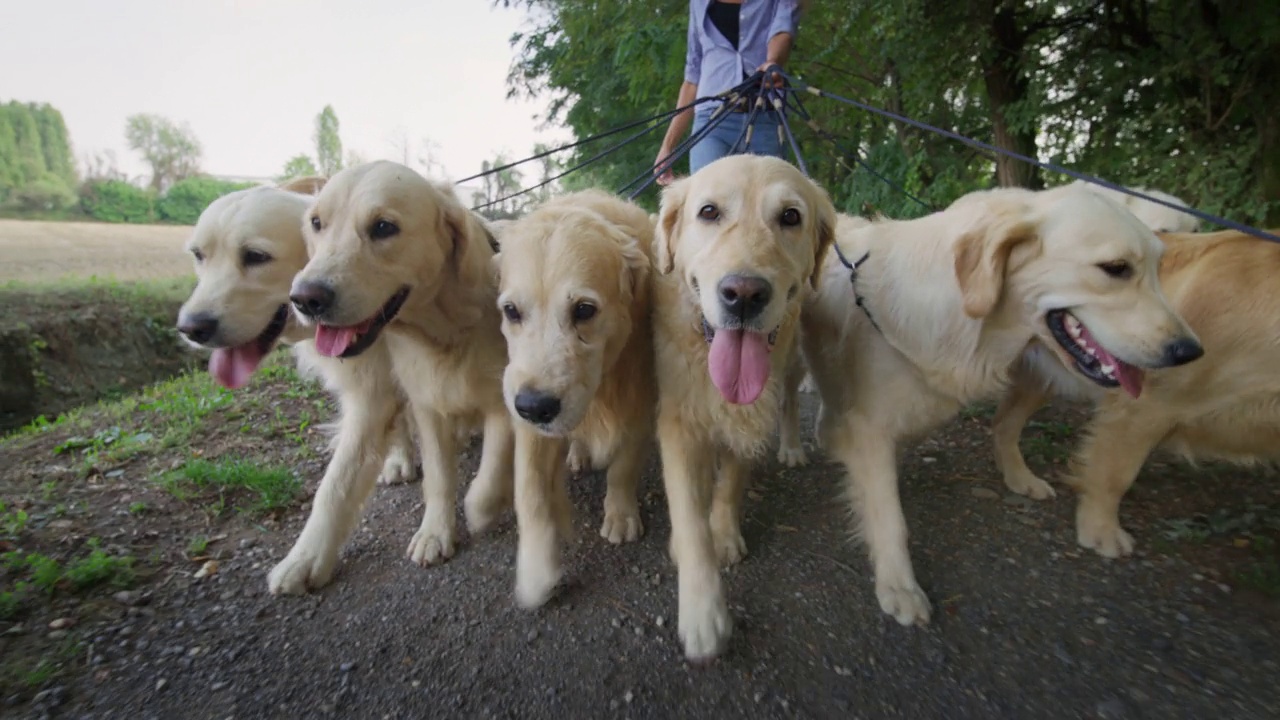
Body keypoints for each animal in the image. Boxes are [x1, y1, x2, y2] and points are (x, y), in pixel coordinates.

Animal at [275, 158, 514, 589]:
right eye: (317, 222)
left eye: (384, 227)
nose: (304, 298)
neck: (446, 331)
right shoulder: (427, 406)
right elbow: (438, 475)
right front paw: (435, 532)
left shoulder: (505, 403)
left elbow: (490, 471)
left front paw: (481, 507)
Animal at [494, 185, 660, 604]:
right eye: (511, 311)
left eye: (584, 310)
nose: (535, 407)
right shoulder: (525, 411)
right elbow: (531, 490)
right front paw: (537, 570)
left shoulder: (641, 405)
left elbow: (623, 467)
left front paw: (621, 515)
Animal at [650, 154, 839, 661]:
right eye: (709, 212)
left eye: (790, 216)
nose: (744, 295)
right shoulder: (679, 425)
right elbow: (690, 517)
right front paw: (703, 614)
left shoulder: (748, 418)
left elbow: (731, 485)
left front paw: (726, 533)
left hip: (791, 365)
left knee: (790, 400)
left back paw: (792, 448)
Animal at [793, 183, 1203, 622]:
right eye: (1116, 268)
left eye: (1161, 266)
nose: (1190, 351)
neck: (962, 316)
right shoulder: (872, 428)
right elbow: (889, 515)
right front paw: (899, 586)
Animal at [988, 226, 1280, 550]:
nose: (1190, 352)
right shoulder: (1146, 406)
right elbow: (1114, 475)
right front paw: (1100, 531)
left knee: (1004, 424)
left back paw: (1020, 478)